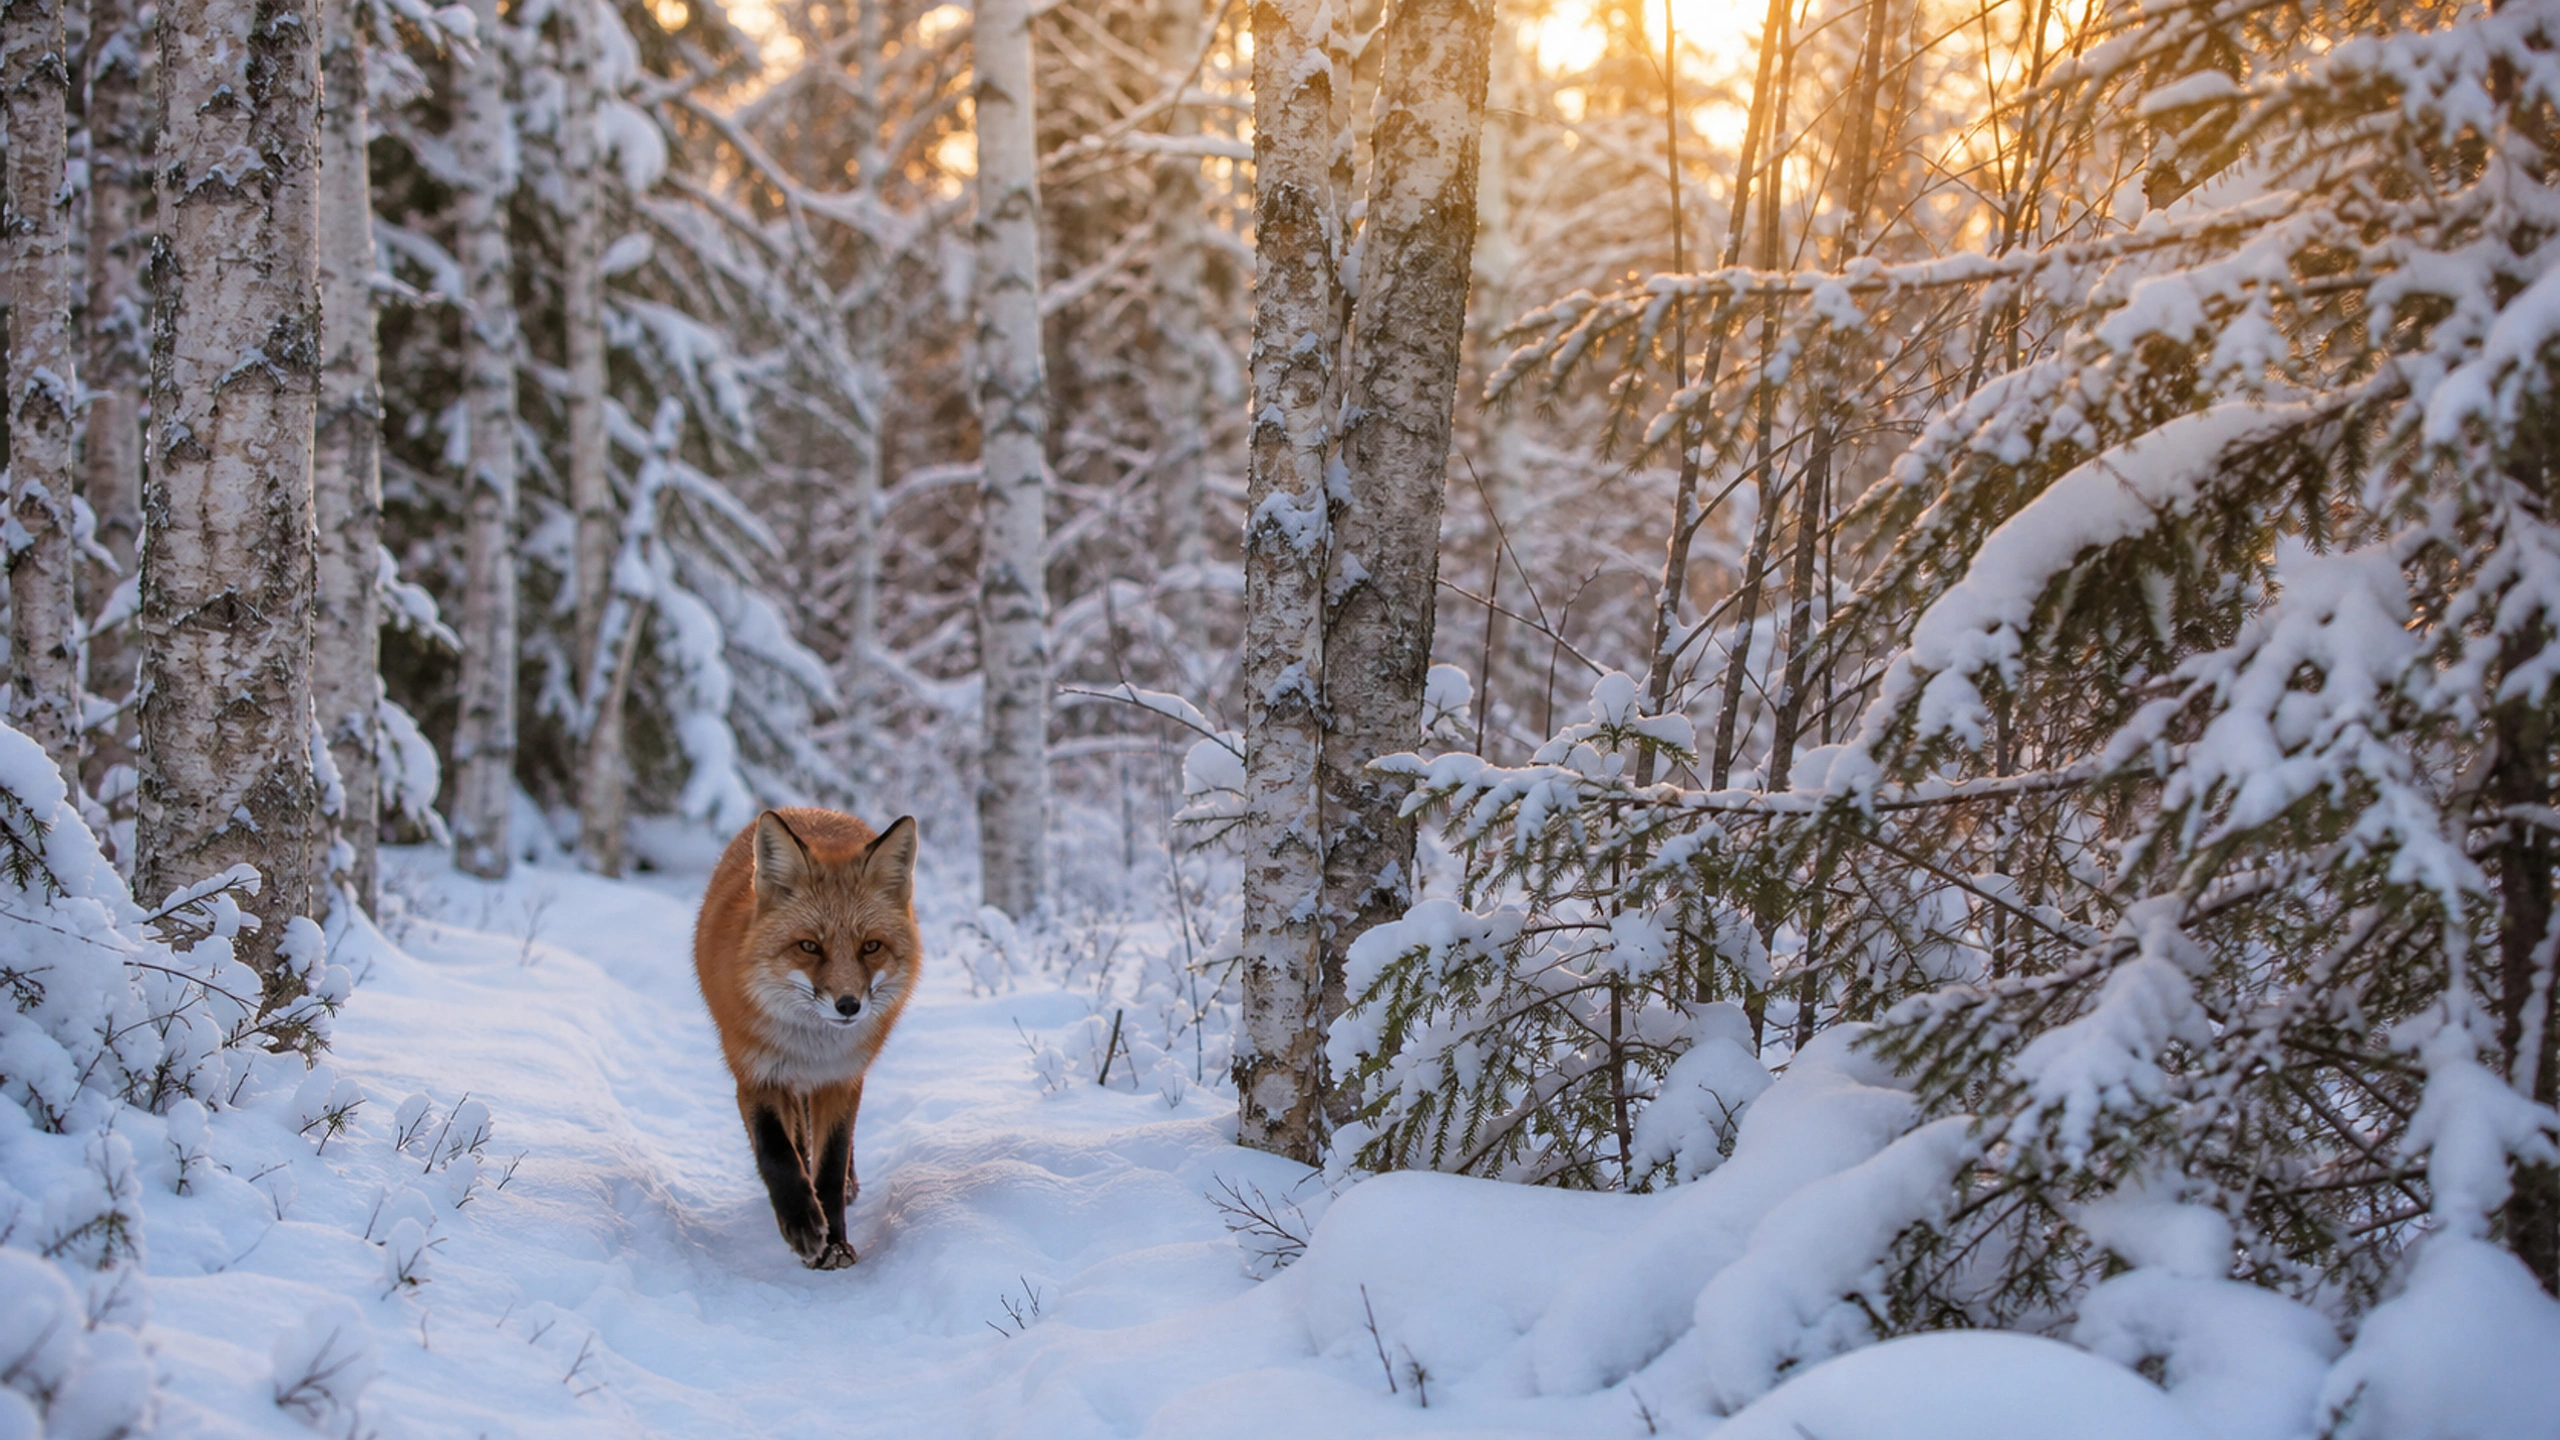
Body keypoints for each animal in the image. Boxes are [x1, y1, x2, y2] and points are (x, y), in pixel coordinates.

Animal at [694, 807, 920, 1269]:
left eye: (871, 946)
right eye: (809, 947)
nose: (849, 1005)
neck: (810, 1050)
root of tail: (808, 812)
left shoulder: (841, 1078)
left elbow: (830, 1164)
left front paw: (834, 1242)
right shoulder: (755, 1073)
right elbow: (778, 1152)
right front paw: (802, 1225)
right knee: (796, 1140)